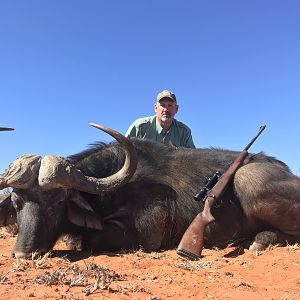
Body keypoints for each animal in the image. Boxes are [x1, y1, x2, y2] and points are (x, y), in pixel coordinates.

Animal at [0, 123, 300, 258]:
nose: (23, 254)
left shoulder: (146, 235)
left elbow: (88, 242)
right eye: (16, 203)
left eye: (57, 203)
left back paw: (259, 240)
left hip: (246, 178)